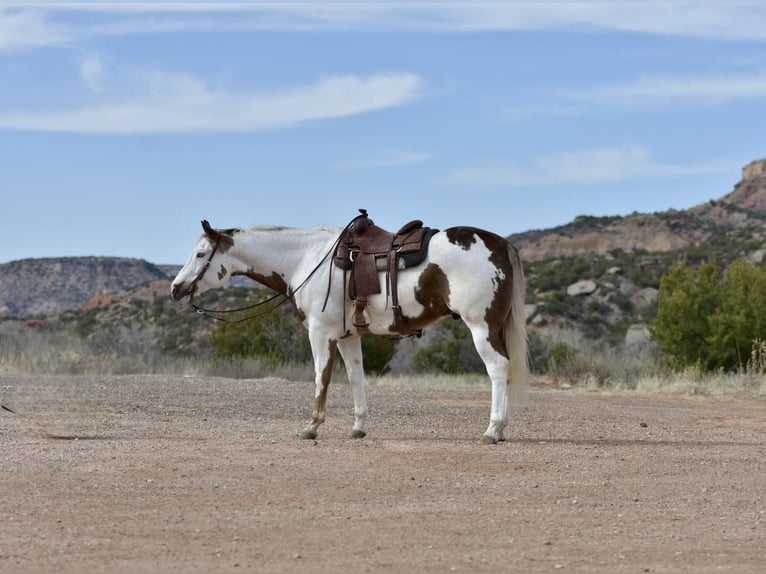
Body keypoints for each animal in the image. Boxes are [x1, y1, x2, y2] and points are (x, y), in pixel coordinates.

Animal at [170, 216, 528, 446]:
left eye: (200, 254)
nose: (176, 288)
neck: (307, 259)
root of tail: (499, 243)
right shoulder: (349, 336)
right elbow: (356, 378)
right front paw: (358, 427)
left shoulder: (320, 334)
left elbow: (321, 377)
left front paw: (312, 426)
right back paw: (501, 429)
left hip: (480, 327)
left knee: (498, 369)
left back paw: (493, 430)